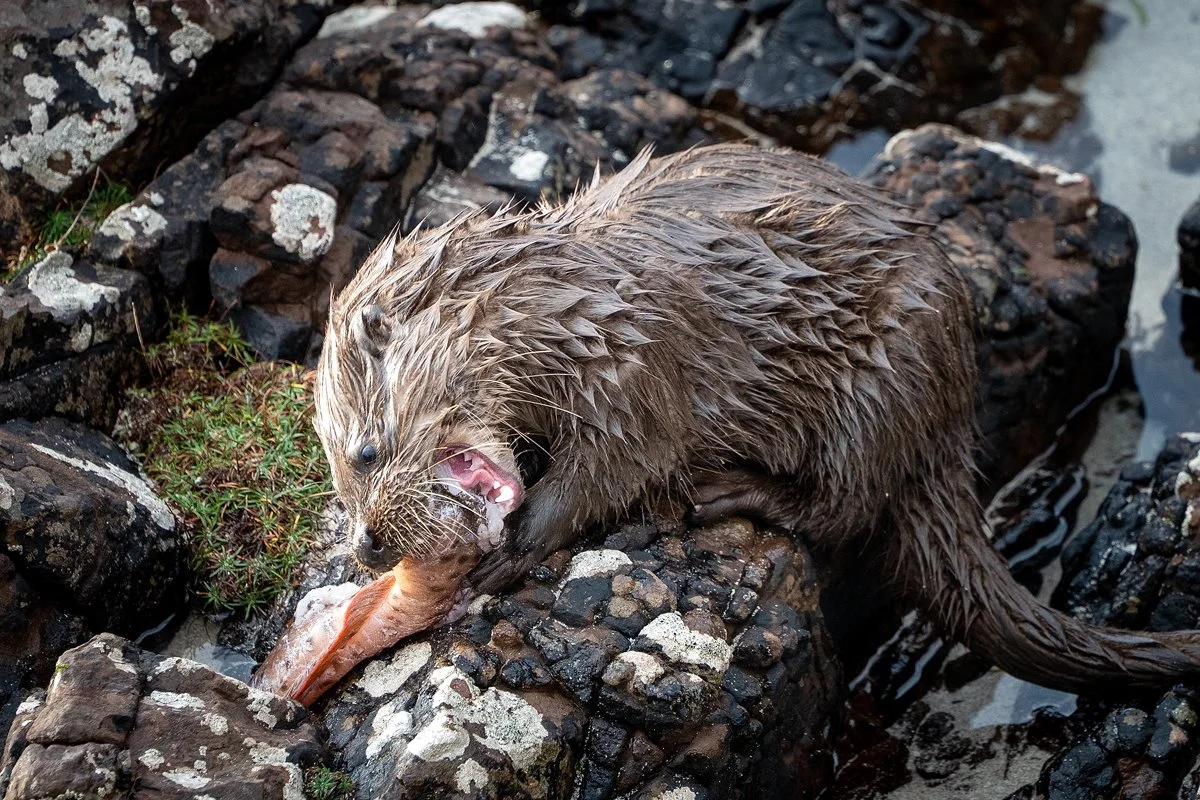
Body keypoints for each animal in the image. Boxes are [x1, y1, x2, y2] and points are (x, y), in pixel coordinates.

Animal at [312, 143, 1200, 693]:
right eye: (338, 479)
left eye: (364, 452)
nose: (367, 546)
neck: (565, 306)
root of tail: (949, 412)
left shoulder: (638, 370)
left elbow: (617, 467)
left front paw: (514, 550)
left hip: (882, 380)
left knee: (847, 507)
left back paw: (729, 495)